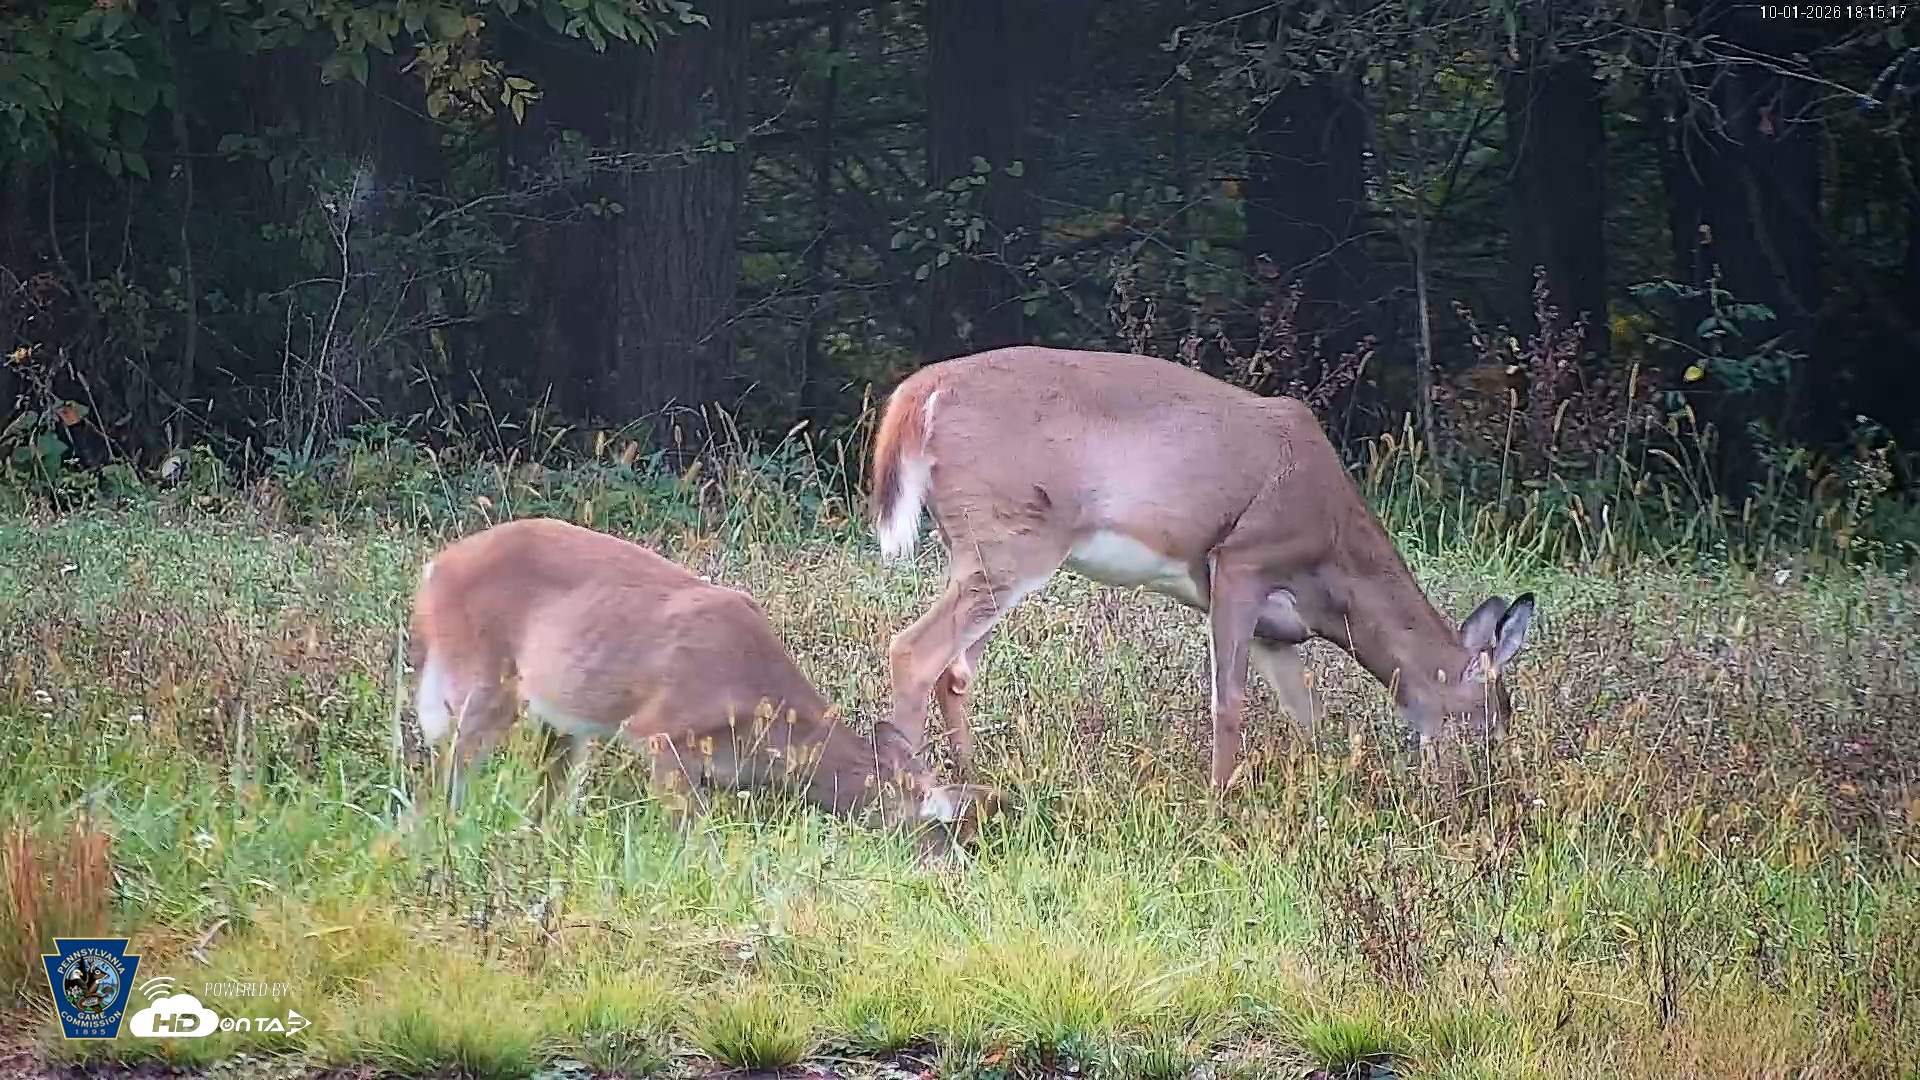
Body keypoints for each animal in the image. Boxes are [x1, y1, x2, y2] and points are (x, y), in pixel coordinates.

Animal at [407, 517, 1006, 847]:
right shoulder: (663, 733)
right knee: (445, 767)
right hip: (479, 678)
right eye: (936, 827)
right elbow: (690, 837)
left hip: (562, 718)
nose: (948, 868)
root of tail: (433, 569)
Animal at [866, 346, 1537, 794]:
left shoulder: (1277, 628)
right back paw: (909, 793)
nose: (1485, 788)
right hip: (1012, 540)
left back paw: (973, 781)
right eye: (1492, 719)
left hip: (985, 548)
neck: (1333, 571)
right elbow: (1229, 701)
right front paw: (1220, 803)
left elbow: (1305, 712)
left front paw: (1322, 786)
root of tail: (920, 392)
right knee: (914, 650)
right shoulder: (1243, 559)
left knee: (956, 670)